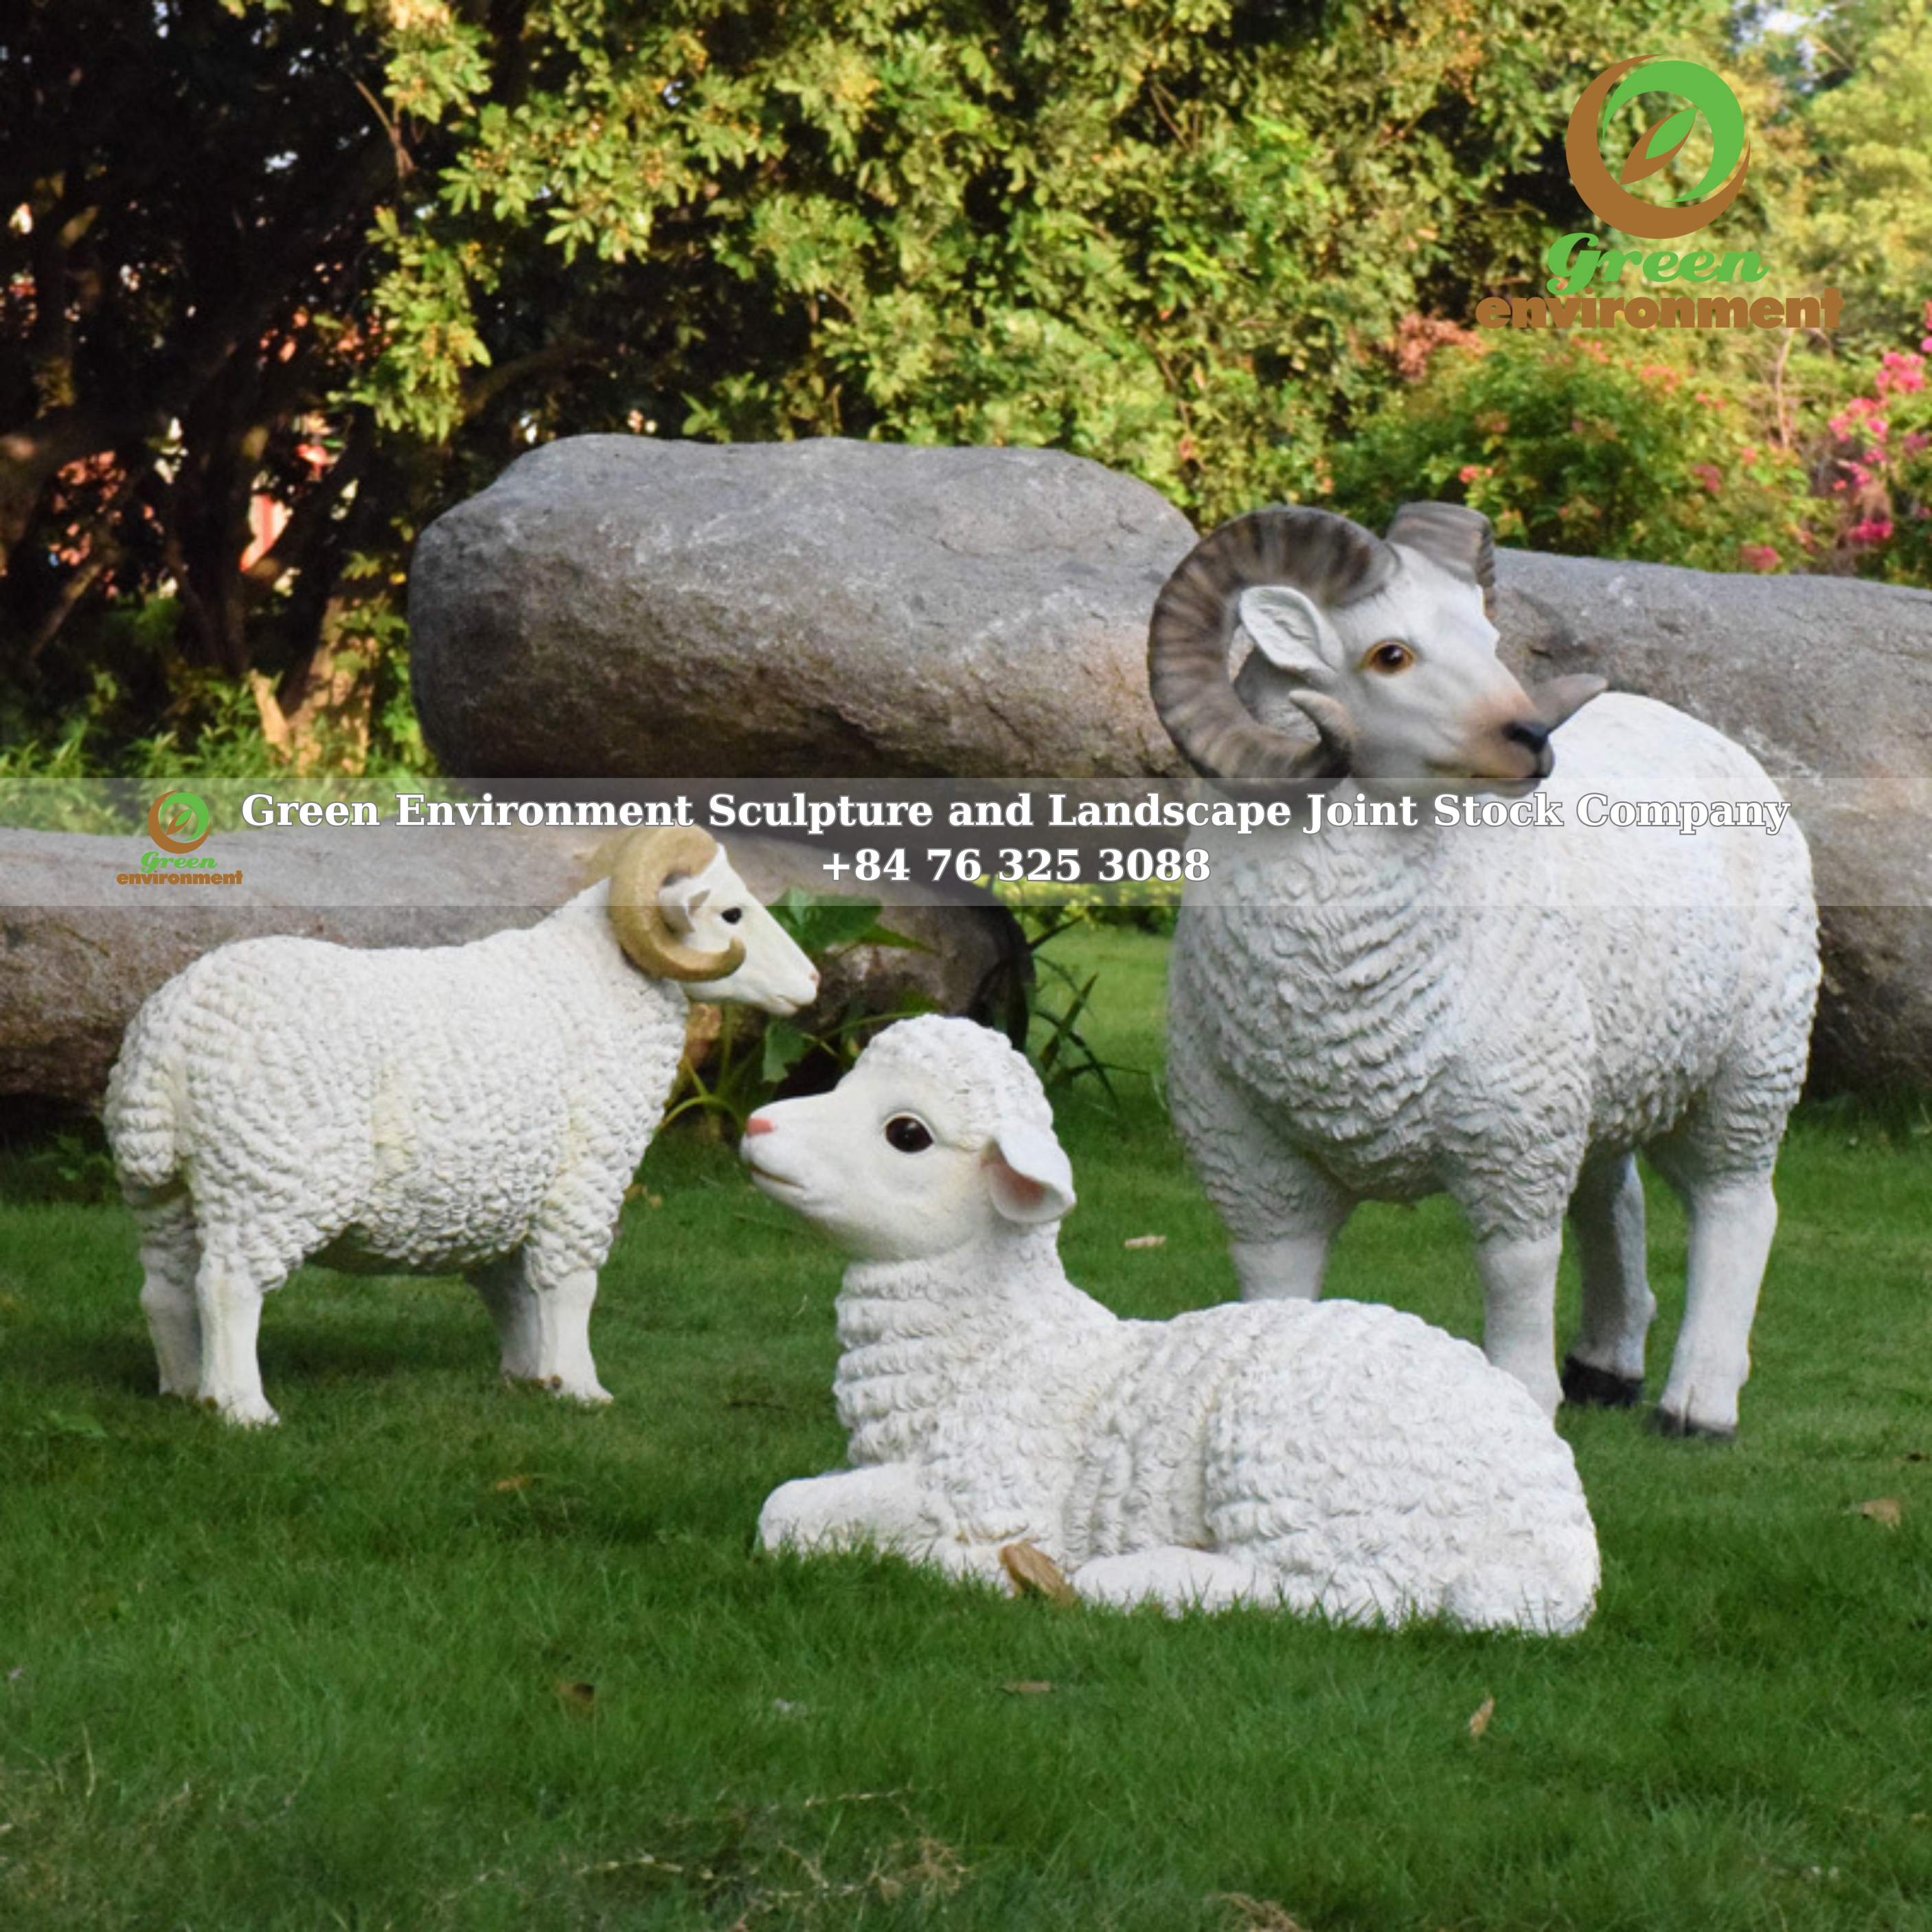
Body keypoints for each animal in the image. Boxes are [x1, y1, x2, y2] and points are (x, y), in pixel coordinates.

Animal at [105, 826, 819, 1426]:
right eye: (731, 914)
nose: (811, 981)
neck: (595, 984)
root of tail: (175, 1029)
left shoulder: (507, 1192)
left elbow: (514, 1292)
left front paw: (530, 1379)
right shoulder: (581, 1178)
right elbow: (570, 1286)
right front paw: (581, 1389)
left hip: (166, 1192)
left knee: (165, 1289)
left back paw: (183, 1390)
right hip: (270, 1177)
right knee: (227, 1288)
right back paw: (243, 1410)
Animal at [742, 1015, 1600, 1634]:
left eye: (907, 1133)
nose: (755, 1126)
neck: (997, 1336)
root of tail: (1559, 1548)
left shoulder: (990, 1487)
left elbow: (790, 1511)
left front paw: (970, 1566)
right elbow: (791, 1504)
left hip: (1296, 1466)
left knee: (1346, 1594)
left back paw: (1125, 1577)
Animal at [1147, 501, 1819, 1438]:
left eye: (1488, 637)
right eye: (1389, 653)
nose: (1533, 740)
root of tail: (1700, 728)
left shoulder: (1512, 1140)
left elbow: (1516, 1279)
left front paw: (1524, 1410)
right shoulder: (1250, 1167)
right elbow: (1275, 1292)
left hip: (1748, 1061)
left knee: (1735, 1206)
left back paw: (1697, 1406)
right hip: (1602, 1065)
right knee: (1614, 1195)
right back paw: (1605, 1366)